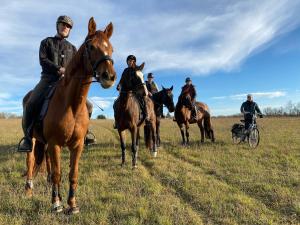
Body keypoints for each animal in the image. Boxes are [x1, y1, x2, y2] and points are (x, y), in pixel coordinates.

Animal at [22, 18, 116, 214]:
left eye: (111, 49)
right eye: (91, 46)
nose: (109, 77)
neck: (71, 105)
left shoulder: (77, 145)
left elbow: (73, 173)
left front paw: (72, 204)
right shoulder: (55, 144)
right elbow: (58, 174)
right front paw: (56, 204)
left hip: (43, 142)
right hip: (33, 141)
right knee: (30, 161)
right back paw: (28, 190)